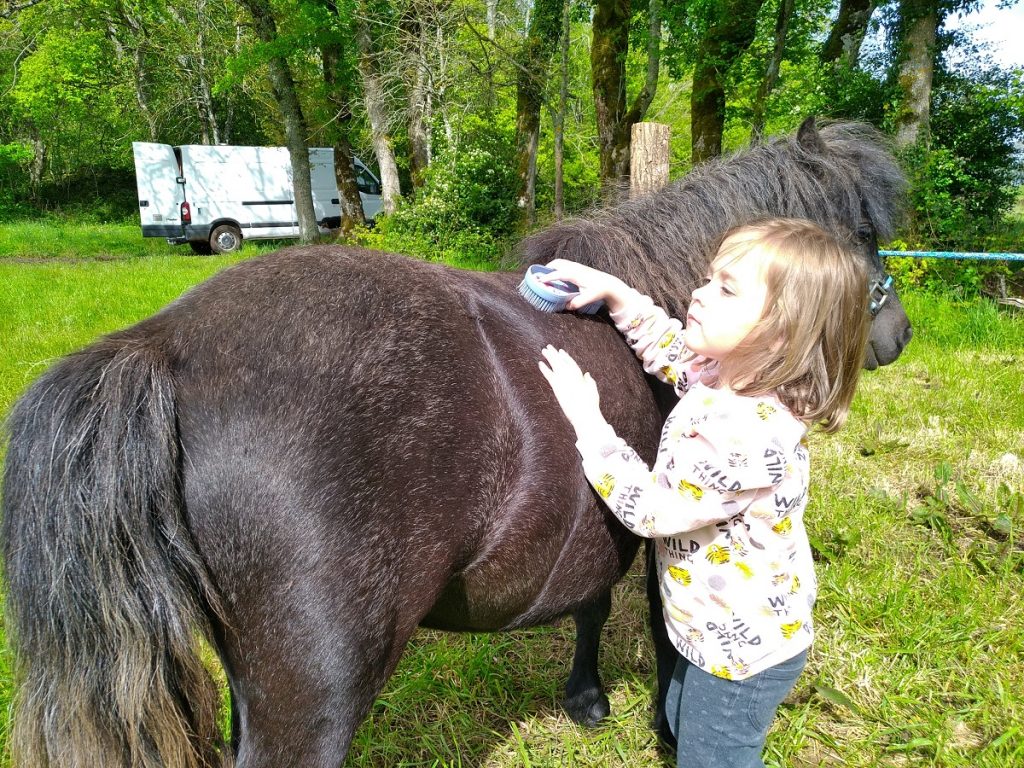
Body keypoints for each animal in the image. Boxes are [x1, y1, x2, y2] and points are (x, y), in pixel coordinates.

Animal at [4, 117, 909, 765]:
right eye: (866, 234)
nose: (896, 335)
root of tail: (163, 346)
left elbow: (590, 601)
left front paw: (585, 699)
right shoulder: (664, 536)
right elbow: (663, 636)